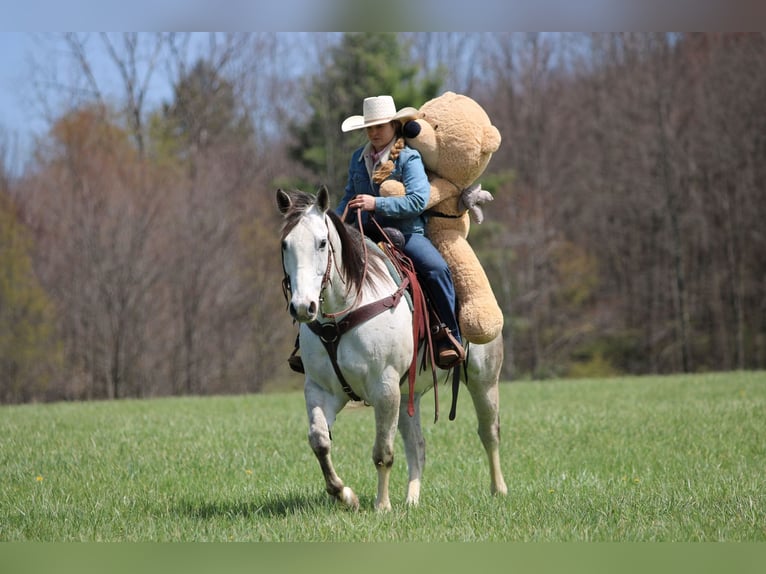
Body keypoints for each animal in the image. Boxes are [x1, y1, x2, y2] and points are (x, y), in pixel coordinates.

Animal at [277, 186, 507, 511]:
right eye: (285, 244)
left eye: (322, 243)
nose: (302, 307)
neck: (344, 313)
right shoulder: (321, 390)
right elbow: (320, 441)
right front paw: (345, 495)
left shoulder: (385, 388)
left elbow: (382, 453)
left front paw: (382, 505)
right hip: (410, 394)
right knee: (418, 446)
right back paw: (411, 500)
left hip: (483, 379)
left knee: (489, 432)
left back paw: (498, 489)